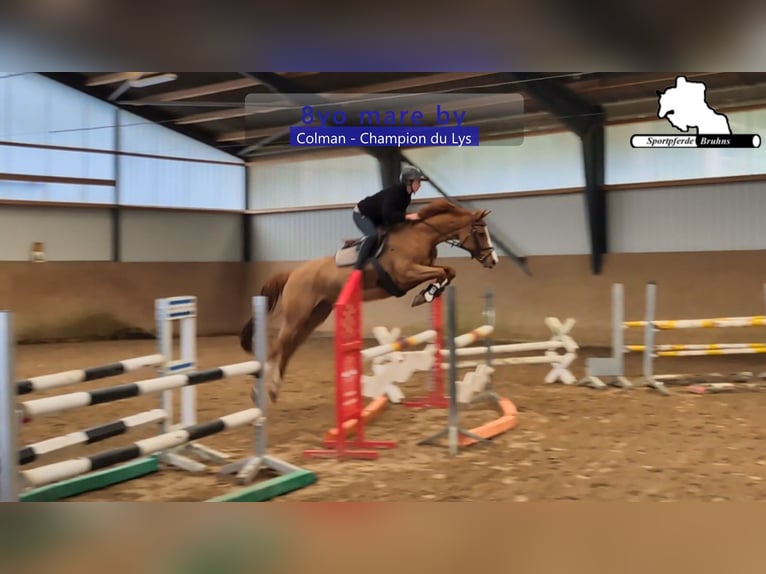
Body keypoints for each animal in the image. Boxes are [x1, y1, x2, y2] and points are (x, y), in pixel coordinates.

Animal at [240, 197, 499, 404]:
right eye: (479, 233)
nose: (493, 260)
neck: (421, 235)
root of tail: (292, 273)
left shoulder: (420, 270)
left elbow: (447, 271)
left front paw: (428, 293)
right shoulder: (406, 274)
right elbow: (443, 272)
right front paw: (425, 294)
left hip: (315, 316)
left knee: (289, 347)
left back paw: (274, 390)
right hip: (297, 315)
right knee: (278, 346)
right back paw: (260, 391)